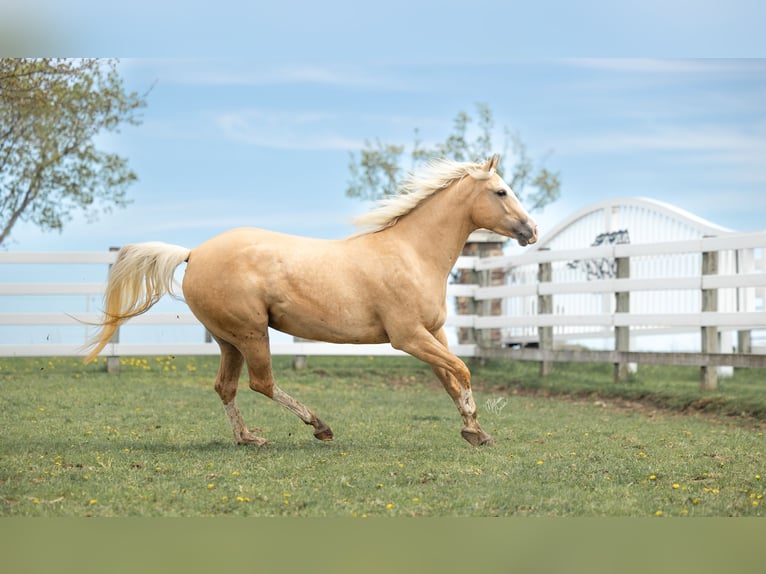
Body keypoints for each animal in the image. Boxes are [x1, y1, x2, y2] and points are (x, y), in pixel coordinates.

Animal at [85, 155, 540, 448]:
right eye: (501, 191)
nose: (531, 230)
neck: (412, 253)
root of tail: (193, 253)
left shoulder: (434, 332)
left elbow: (449, 378)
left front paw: (475, 431)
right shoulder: (408, 336)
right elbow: (462, 371)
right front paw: (474, 428)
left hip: (228, 340)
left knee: (225, 386)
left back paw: (249, 438)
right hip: (251, 333)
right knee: (261, 383)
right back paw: (319, 426)